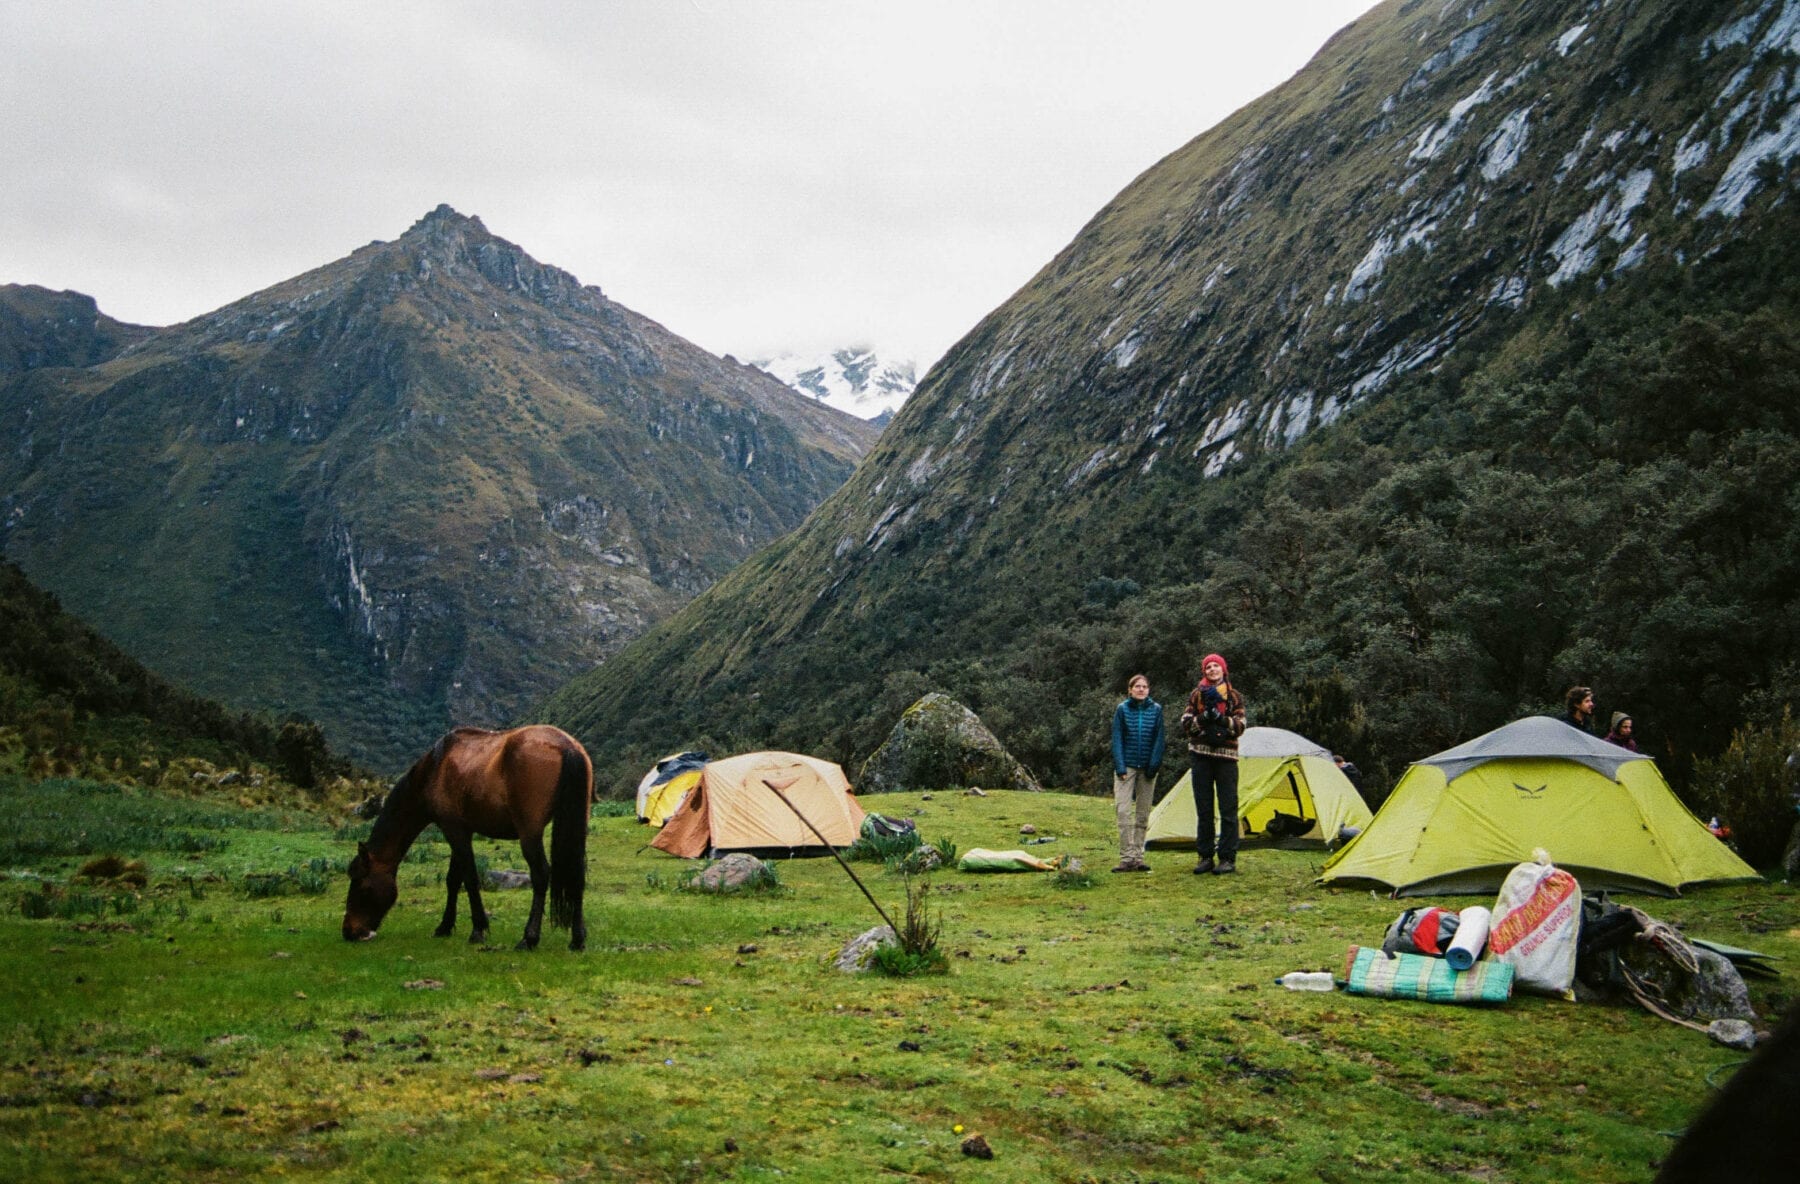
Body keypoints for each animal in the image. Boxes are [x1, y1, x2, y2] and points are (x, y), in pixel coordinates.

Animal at [338, 719, 590, 950]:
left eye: (362, 886)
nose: (349, 931)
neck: (434, 768)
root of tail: (566, 746)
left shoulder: (454, 830)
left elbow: (469, 878)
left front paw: (478, 929)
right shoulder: (461, 831)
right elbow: (453, 879)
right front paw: (444, 926)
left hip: (529, 834)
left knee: (540, 875)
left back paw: (529, 938)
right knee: (576, 873)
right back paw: (577, 939)